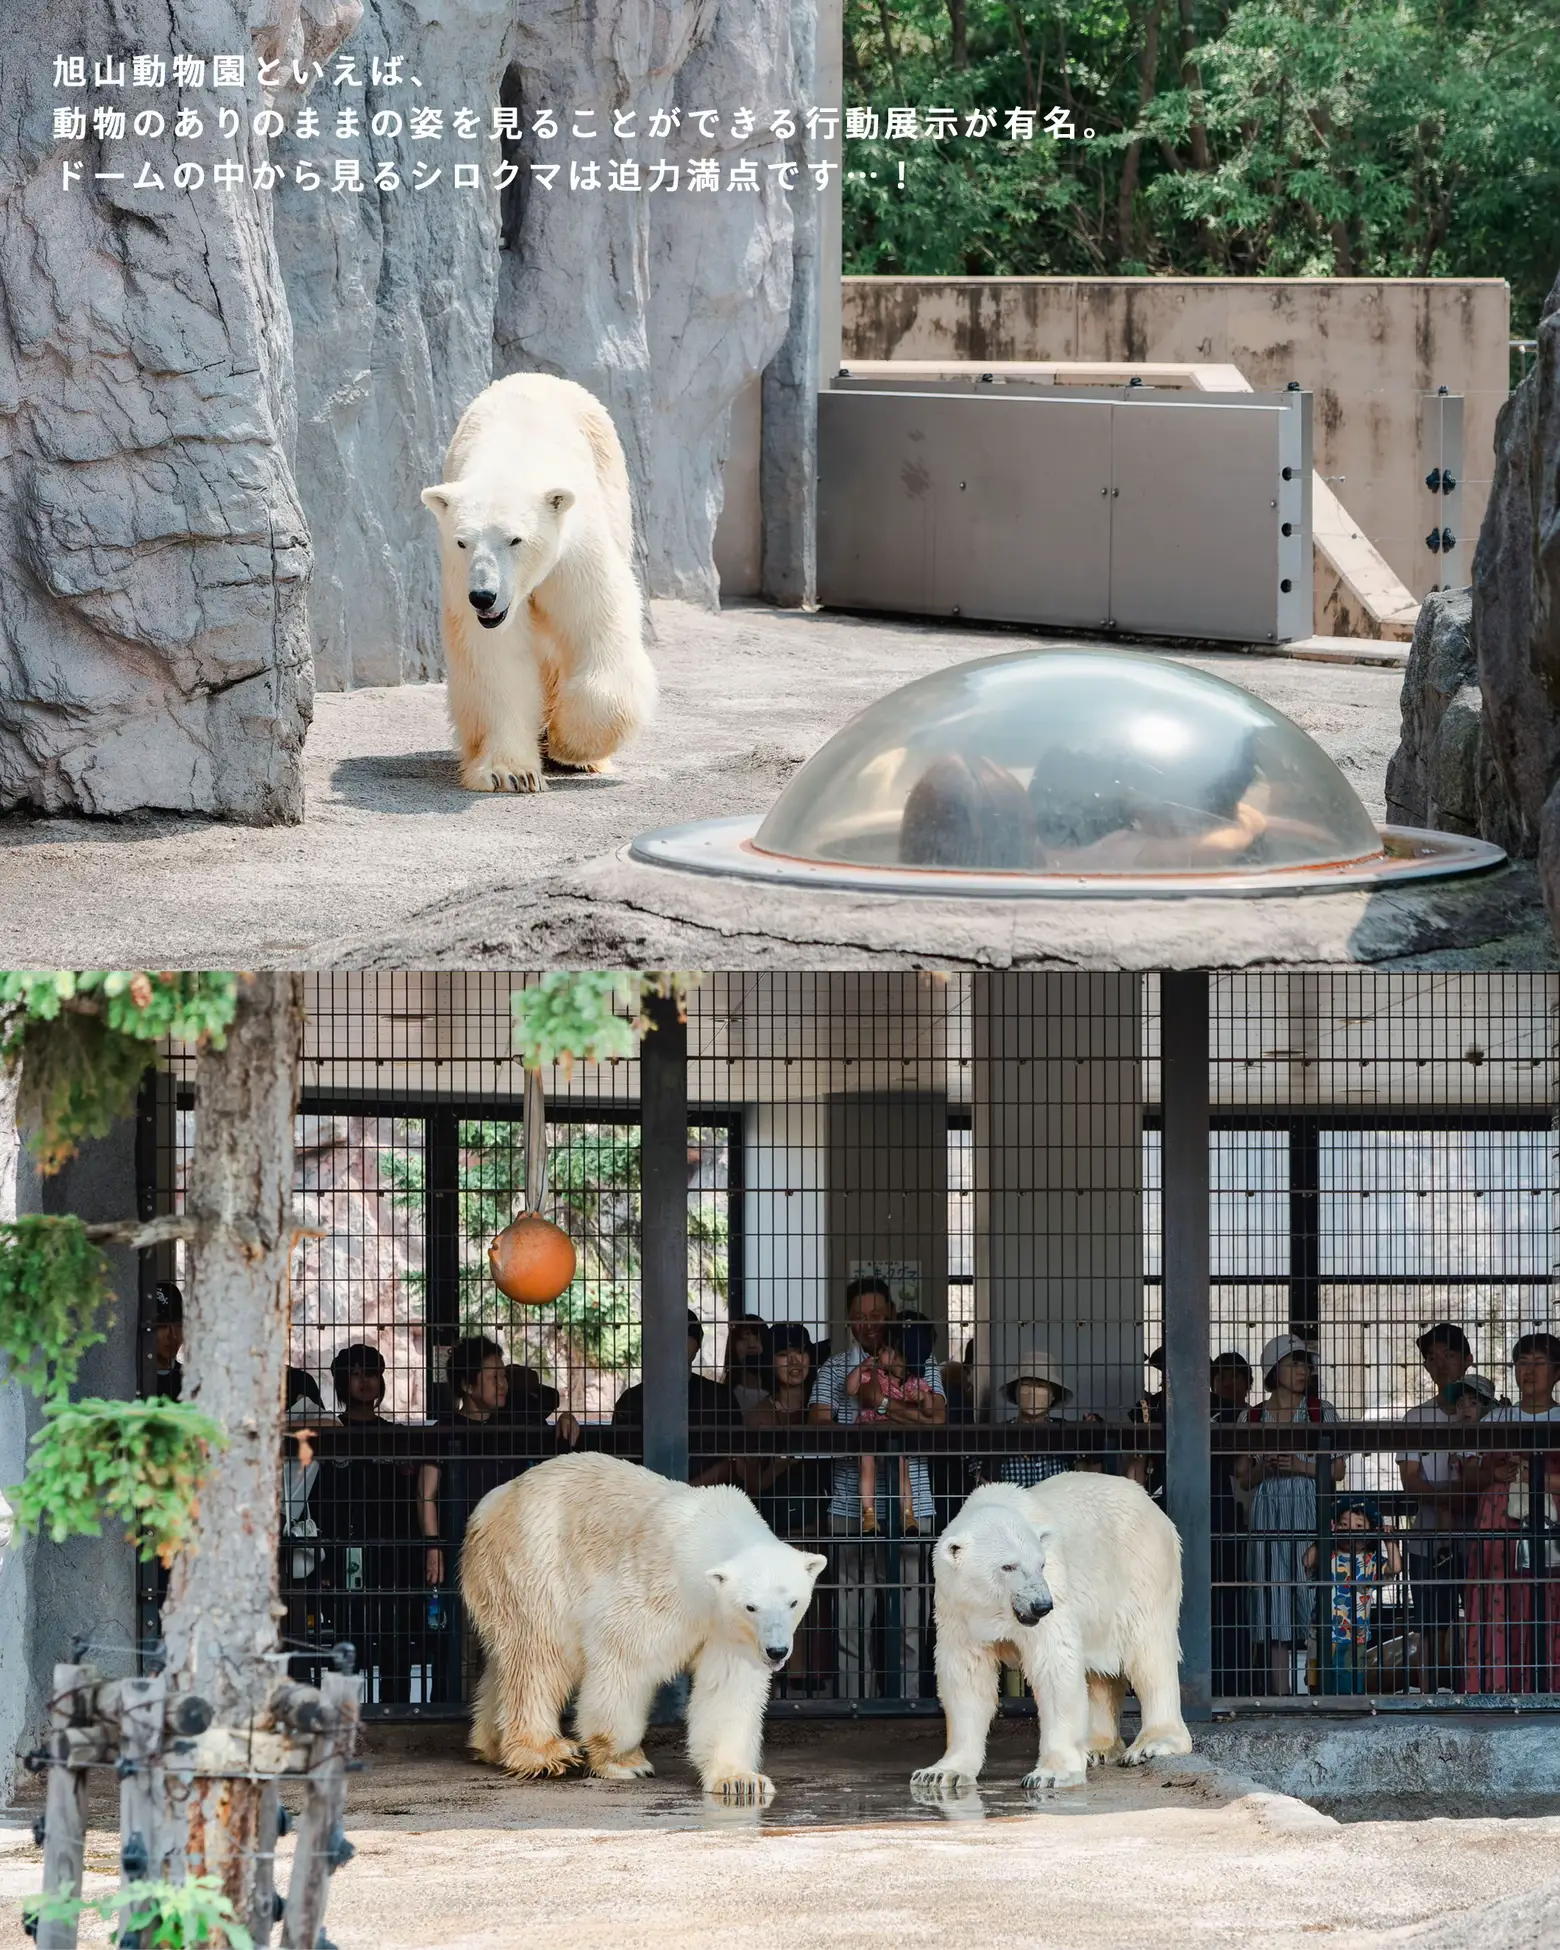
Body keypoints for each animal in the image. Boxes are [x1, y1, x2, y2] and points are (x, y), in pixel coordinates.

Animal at [417, 372, 655, 791]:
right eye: (463, 541)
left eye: (515, 539)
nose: (483, 596)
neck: (514, 454)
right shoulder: (461, 578)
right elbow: (495, 656)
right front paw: (510, 773)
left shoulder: (575, 551)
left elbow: (597, 624)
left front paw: (569, 743)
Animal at [456, 1458, 826, 1801]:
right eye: (751, 1606)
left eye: (793, 1602)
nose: (776, 1651)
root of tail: (491, 1503)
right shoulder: (660, 1590)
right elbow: (624, 1655)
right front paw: (624, 1761)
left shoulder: (729, 1632)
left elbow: (727, 1688)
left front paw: (740, 1781)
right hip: (534, 1564)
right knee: (539, 1654)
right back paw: (545, 1751)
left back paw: (492, 1745)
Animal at [908, 1474, 1185, 1794]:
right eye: (1008, 1565)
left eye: (1040, 1564)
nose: (1041, 1605)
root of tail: (1155, 1509)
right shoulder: (957, 1610)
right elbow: (966, 1677)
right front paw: (940, 1773)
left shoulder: (1055, 1592)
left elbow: (1054, 1666)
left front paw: (1051, 1774)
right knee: (1101, 1669)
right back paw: (1098, 1747)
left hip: (1140, 1571)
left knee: (1149, 1653)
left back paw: (1152, 1743)